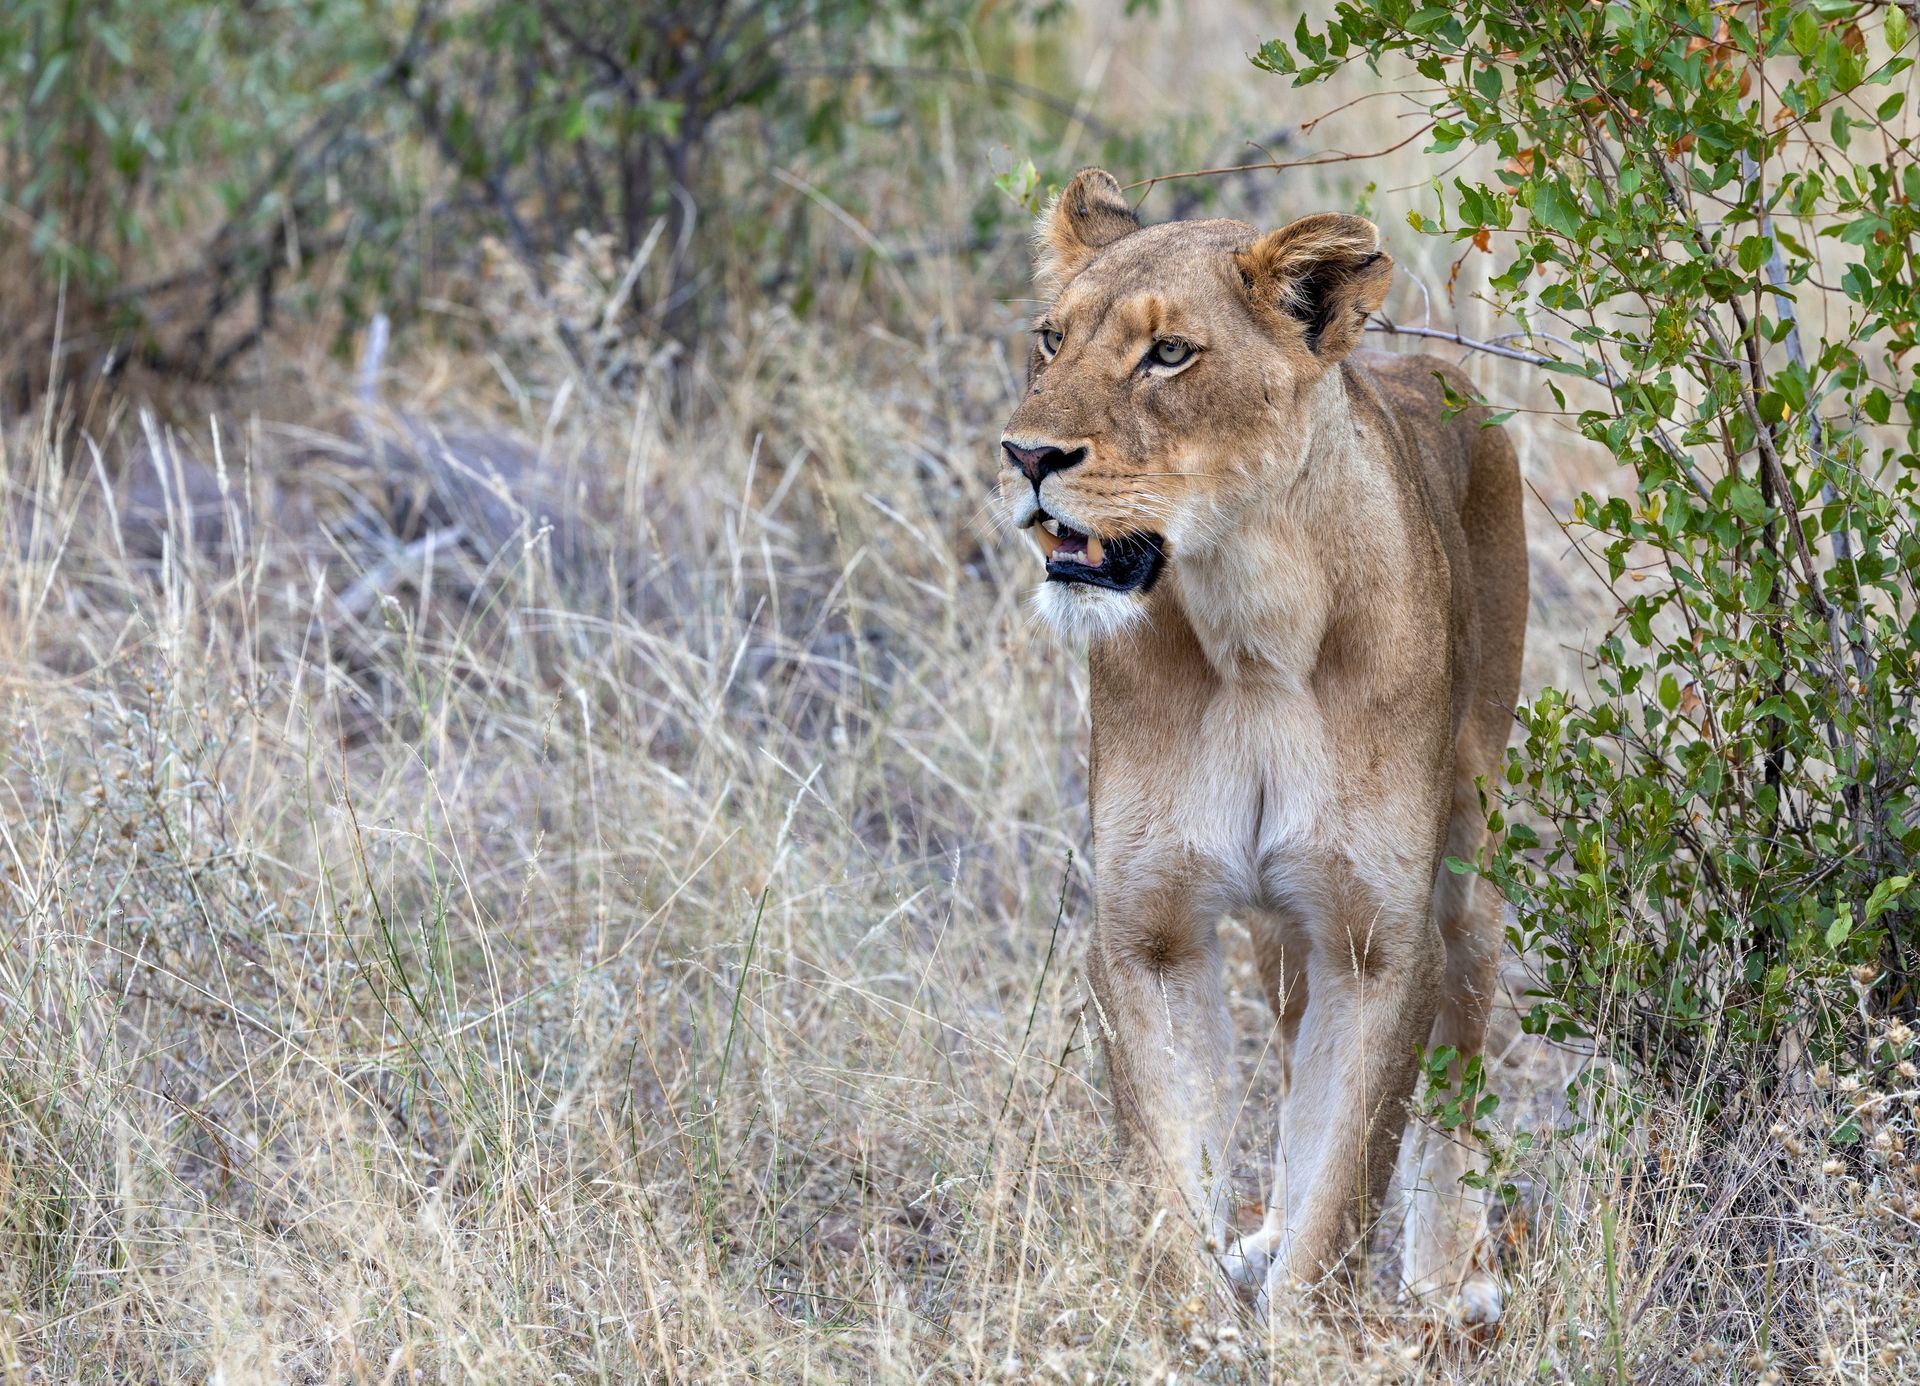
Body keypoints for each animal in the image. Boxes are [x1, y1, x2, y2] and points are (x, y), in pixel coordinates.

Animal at [994, 169, 1527, 1323]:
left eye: (1168, 354)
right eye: (1050, 338)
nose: (1027, 457)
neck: (1251, 626)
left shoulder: (1381, 941)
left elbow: (1351, 1172)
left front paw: (1300, 1331)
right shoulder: (1145, 929)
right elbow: (1171, 1168)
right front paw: (1193, 1326)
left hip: (1470, 860)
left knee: (1462, 1050)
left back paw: (1446, 1281)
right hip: (1288, 927)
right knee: (1288, 1058)